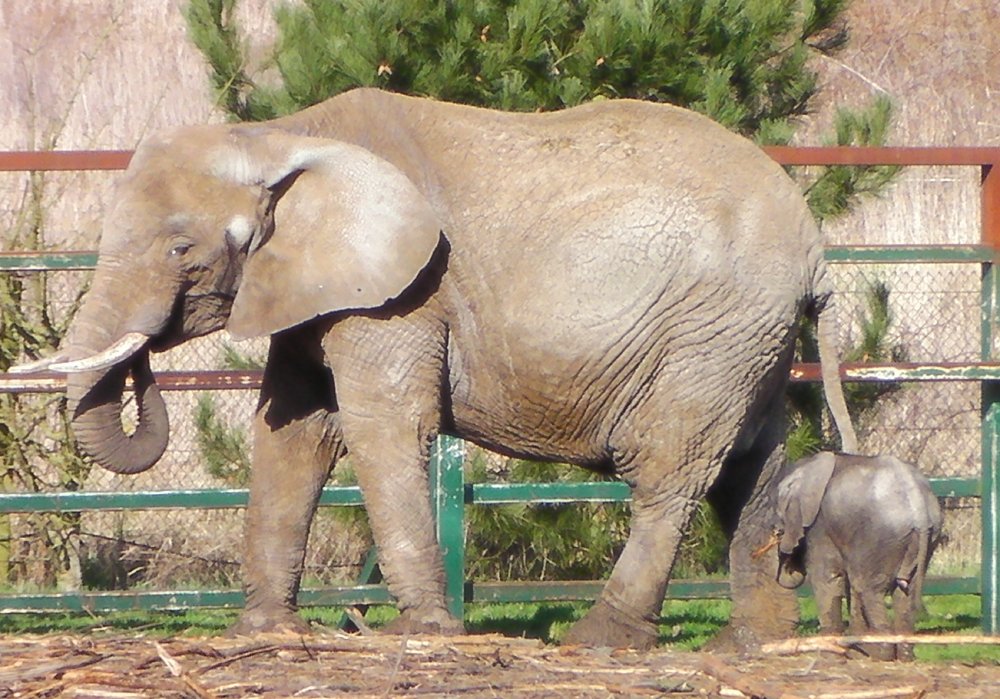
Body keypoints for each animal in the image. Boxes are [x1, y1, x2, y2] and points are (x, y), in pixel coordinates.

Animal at [11, 88, 857, 649]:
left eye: (181, 249)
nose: (144, 355)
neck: (279, 137)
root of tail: (814, 246)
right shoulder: (321, 288)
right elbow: (294, 435)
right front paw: (267, 632)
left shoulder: (404, 292)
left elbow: (382, 425)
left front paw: (427, 632)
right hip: (746, 339)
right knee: (752, 469)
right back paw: (756, 646)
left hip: (714, 331)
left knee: (672, 470)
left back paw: (601, 639)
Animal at [775, 452, 942, 659]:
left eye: (779, 517)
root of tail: (918, 506)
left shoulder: (820, 526)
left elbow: (827, 578)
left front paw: (828, 651)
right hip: (926, 536)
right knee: (904, 592)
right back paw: (900, 656)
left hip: (880, 535)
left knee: (868, 588)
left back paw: (879, 654)